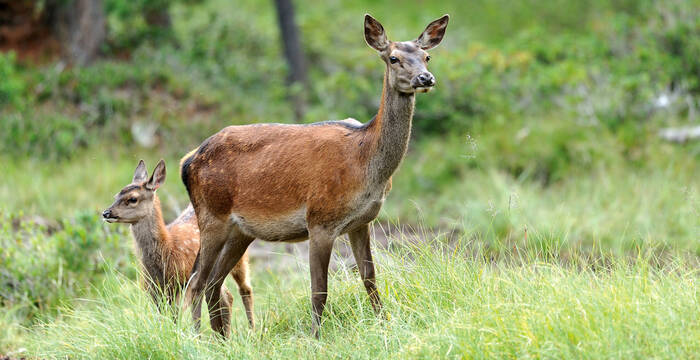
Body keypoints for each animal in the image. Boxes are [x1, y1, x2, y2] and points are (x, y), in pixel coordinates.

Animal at [102, 159, 256, 334]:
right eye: (116, 195)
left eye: (133, 199)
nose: (106, 213)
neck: (168, 250)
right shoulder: (155, 289)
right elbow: (166, 317)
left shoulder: (183, 283)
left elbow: (177, 315)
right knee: (226, 296)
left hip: (240, 258)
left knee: (245, 289)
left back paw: (252, 331)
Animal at [182, 14, 448, 338]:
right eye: (393, 58)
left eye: (426, 56)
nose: (426, 78)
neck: (364, 163)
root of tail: (188, 162)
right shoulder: (320, 220)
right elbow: (319, 289)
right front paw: (316, 337)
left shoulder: (362, 222)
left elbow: (370, 278)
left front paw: (386, 325)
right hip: (212, 216)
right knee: (196, 282)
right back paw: (197, 338)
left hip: (239, 231)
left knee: (213, 283)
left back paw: (222, 340)